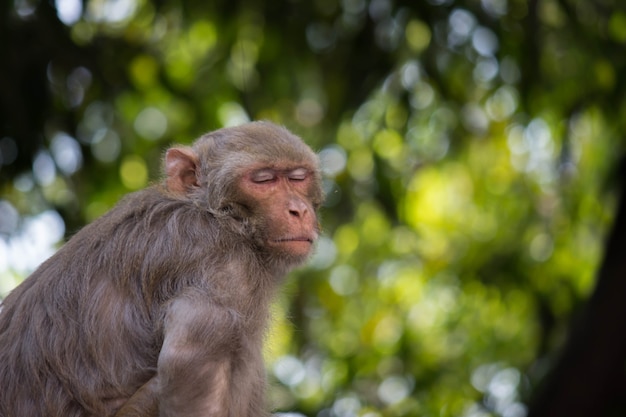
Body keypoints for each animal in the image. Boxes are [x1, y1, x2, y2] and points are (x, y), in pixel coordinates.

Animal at [0, 121, 322, 416]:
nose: (299, 210)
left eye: (298, 178)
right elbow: (188, 360)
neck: (214, 214)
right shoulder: (226, 266)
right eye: (264, 180)